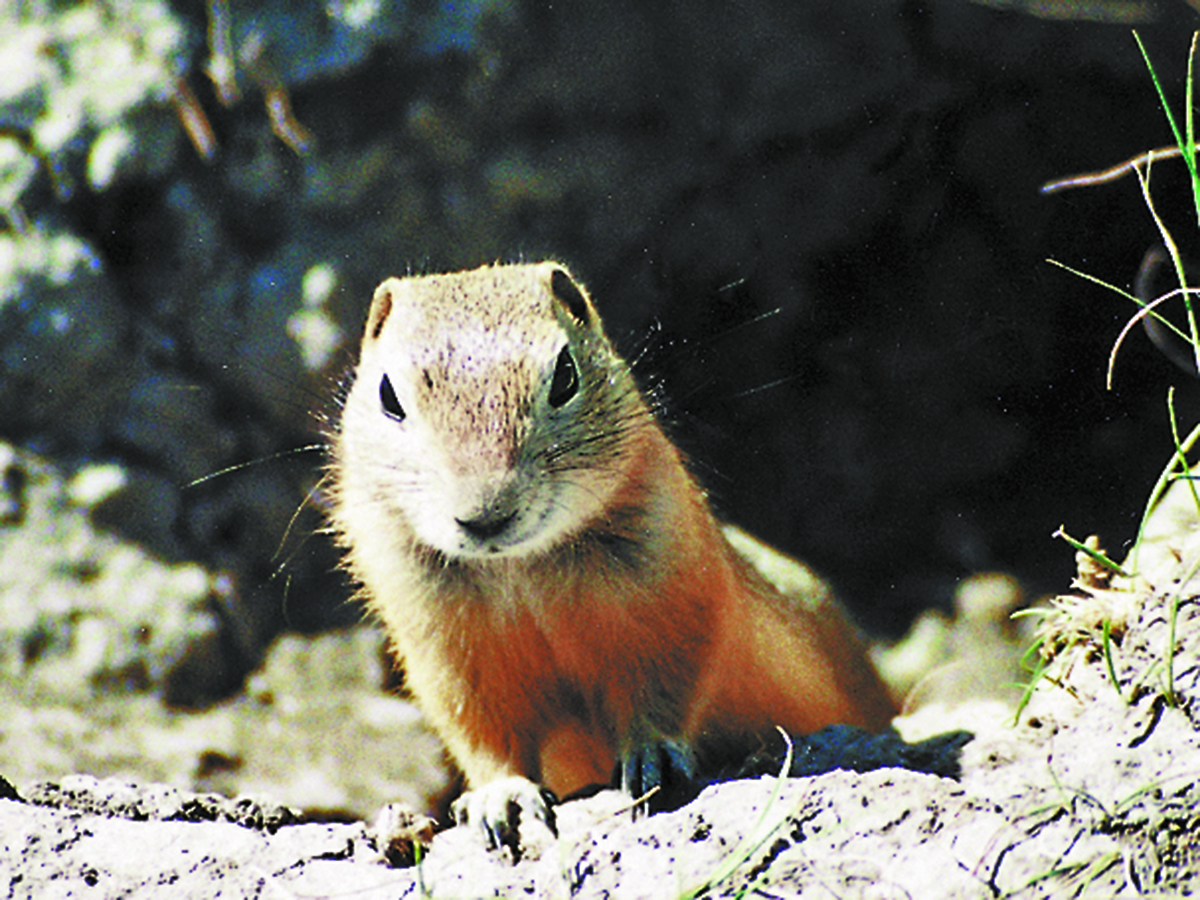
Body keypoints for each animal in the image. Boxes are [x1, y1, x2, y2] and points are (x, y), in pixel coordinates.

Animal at [328, 261, 896, 848]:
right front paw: (501, 796)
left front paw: (652, 758)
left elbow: (663, 688)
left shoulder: (673, 605)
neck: (519, 564)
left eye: (565, 375)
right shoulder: (448, 658)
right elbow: (484, 734)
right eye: (389, 396)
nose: (485, 514)